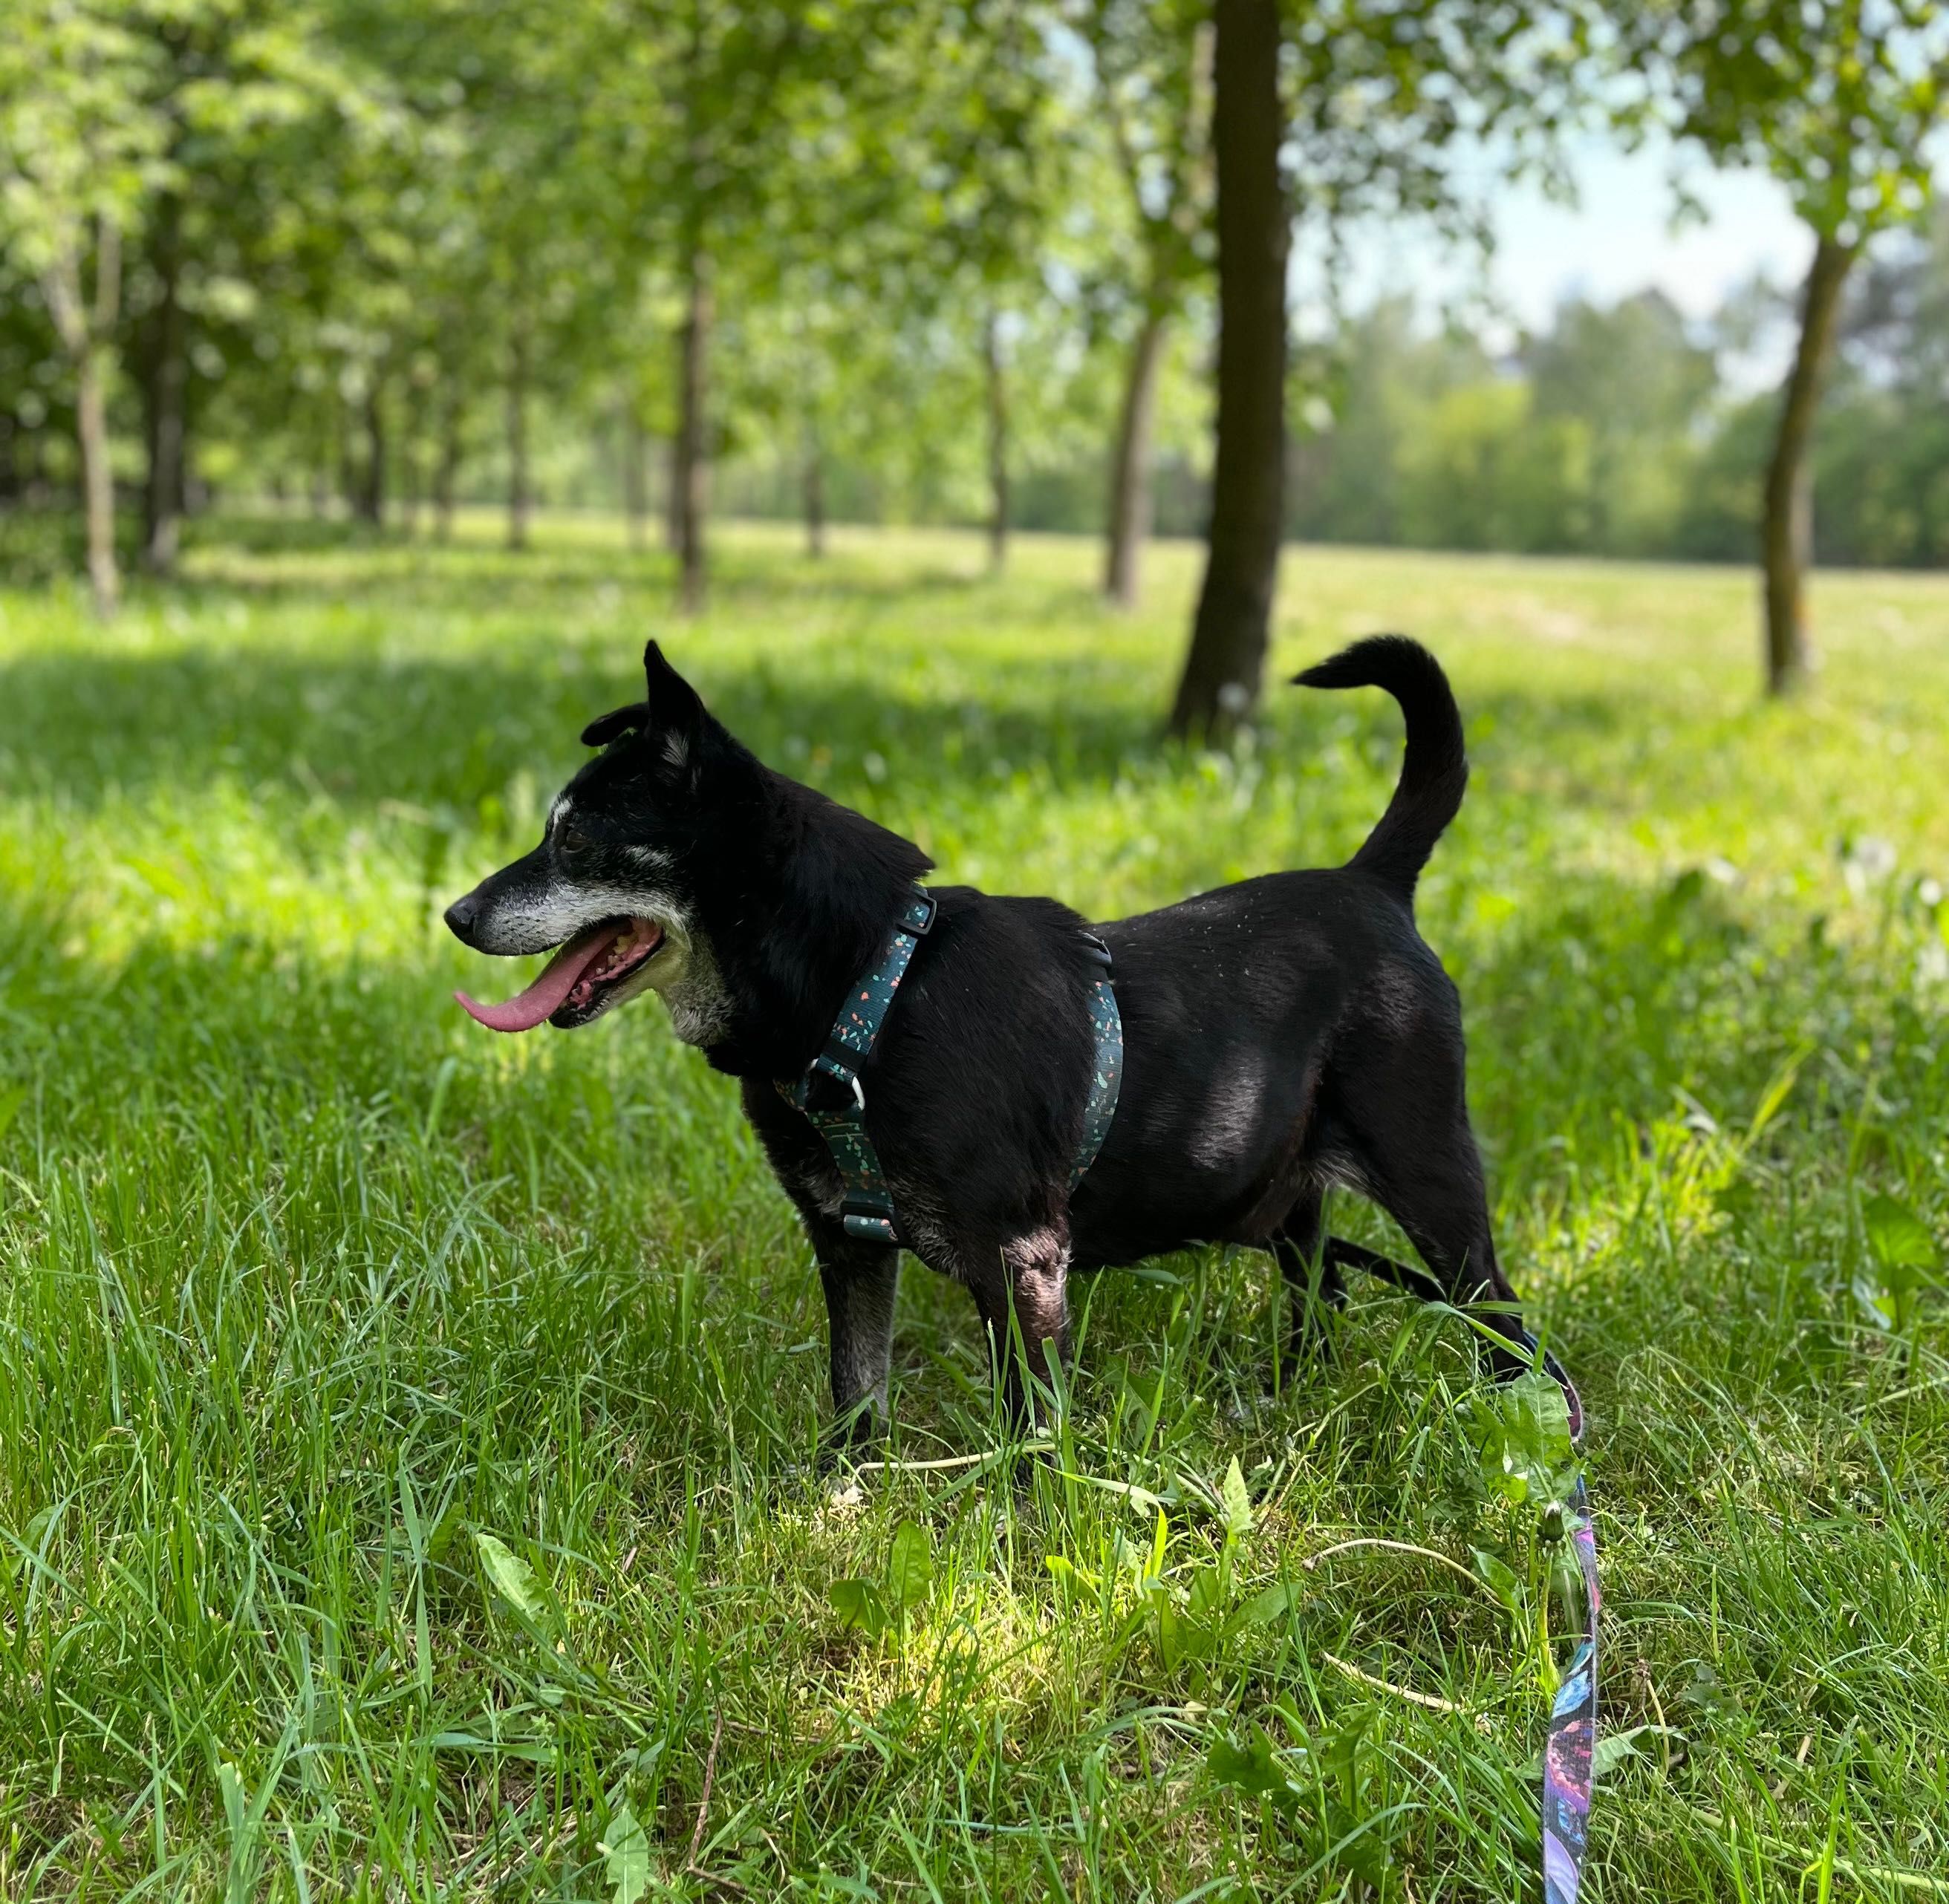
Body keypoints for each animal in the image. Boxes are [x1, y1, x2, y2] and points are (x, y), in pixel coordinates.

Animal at [448, 639, 1528, 1442]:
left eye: (574, 841)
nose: (456, 915)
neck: (871, 989)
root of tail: (1372, 881)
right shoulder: (847, 1242)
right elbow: (856, 1392)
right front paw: (842, 1503)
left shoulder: (1022, 1264)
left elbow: (1030, 1437)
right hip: (1279, 1192)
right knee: (1321, 1288)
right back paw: (1289, 1402)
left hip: (1433, 1182)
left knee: (1502, 1318)